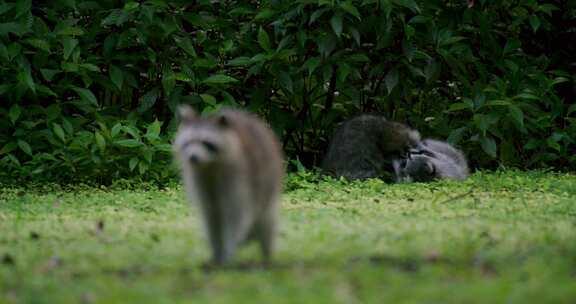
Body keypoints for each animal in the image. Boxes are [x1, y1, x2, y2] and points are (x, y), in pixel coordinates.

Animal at [174, 105, 284, 266]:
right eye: (189, 142)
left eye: (205, 142)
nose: (193, 158)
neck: (209, 165)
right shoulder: (199, 177)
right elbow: (211, 216)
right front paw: (217, 252)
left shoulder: (238, 175)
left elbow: (235, 215)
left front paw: (228, 252)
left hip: (269, 178)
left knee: (266, 221)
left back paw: (266, 255)